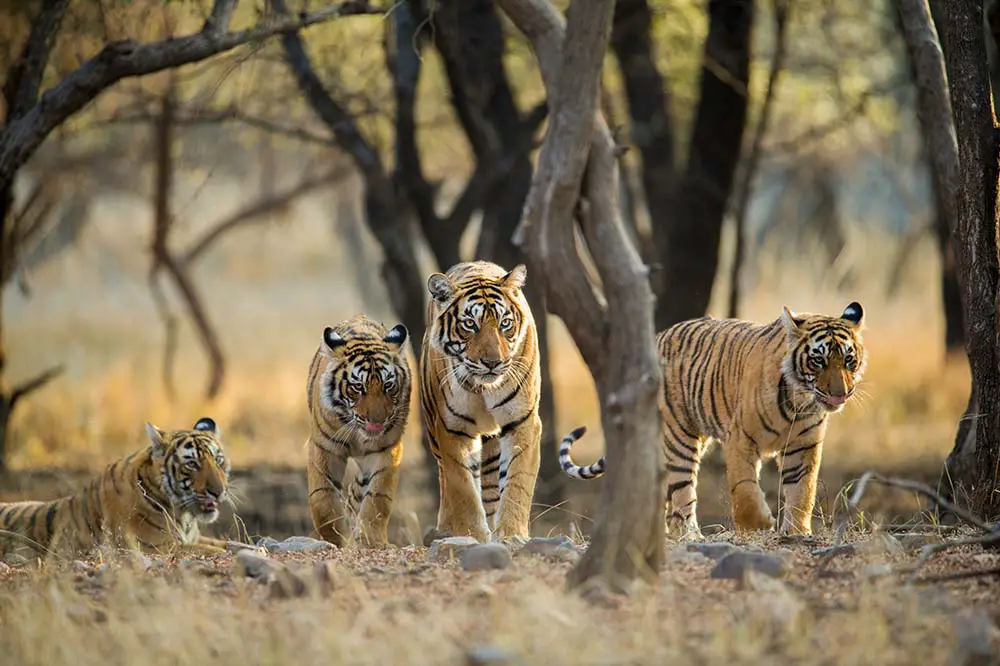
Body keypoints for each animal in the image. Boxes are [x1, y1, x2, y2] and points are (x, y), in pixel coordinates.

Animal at [0, 418, 232, 556]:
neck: (184, 516)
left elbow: (230, 544)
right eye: (192, 464)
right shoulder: (158, 546)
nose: (218, 492)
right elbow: (217, 551)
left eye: (218, 460)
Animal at [306, 314, 412, 548]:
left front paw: (370, 542)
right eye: (357, 387)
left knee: (358, 493)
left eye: (388, 385)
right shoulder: (324, 447)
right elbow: (322, 498)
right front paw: (333, 539)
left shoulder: (387, 449)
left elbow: (377, 498)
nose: (377, 421)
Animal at [560, 304, 864, 536]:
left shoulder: (803, 446)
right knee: (682, 492)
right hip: (679, 437)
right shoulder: (740, 439)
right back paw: (689, 535)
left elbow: (803, 490)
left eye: (849, 360)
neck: (799, 401)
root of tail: (657, 337)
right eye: (818, 361)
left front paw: (797, 531)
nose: (840, 394)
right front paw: (759, 525)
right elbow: (744, 489)